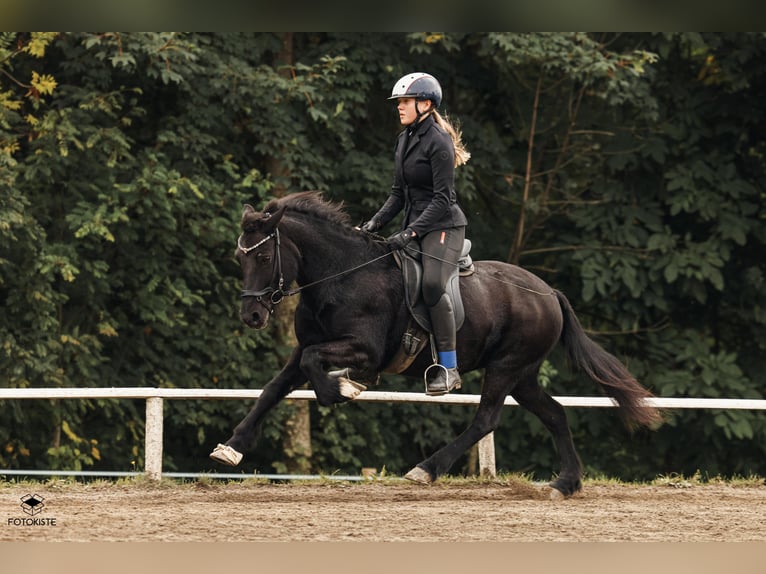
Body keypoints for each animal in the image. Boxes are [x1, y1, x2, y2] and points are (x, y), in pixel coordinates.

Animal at [210, 191, 662, 497]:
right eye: (239, 257)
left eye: (264, 258)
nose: (251, 316)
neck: (340, 275)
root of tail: (548, 292)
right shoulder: (304, 347)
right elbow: (276, 387)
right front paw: (230, 449)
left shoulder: (365, 349)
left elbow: (313, 364)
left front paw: (340, 390)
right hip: (523, 374)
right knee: (553, 413)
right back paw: (565, 483)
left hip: (506, 367)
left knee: (486, 420)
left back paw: (426, 469)